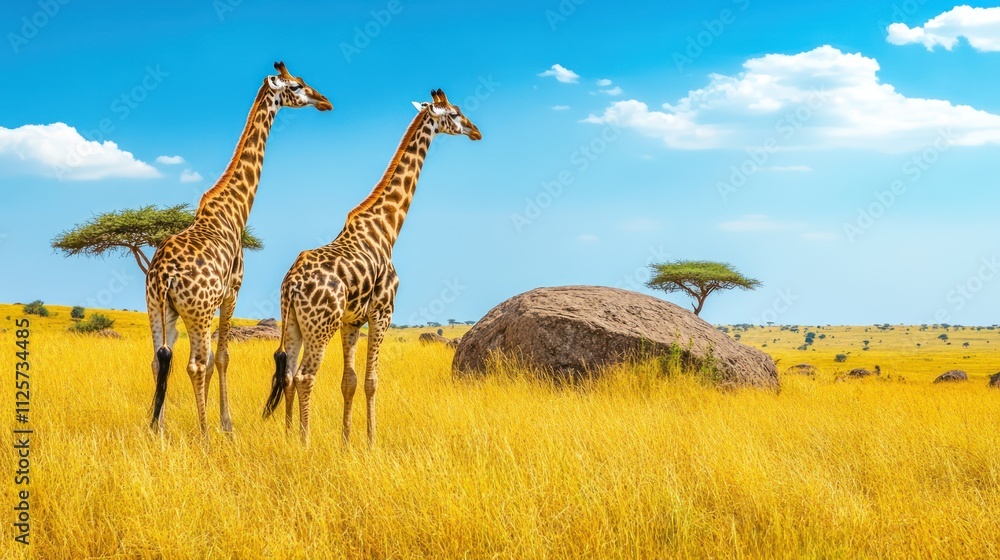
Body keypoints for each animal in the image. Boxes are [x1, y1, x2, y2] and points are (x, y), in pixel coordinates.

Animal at [147, 61, 332, 435]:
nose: (325, 101)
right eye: (297, 85)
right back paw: (203, 435)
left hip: (159, 310)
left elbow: (213, 358)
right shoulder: (232, 292)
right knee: (193, 364)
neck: (233, 209)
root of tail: (162, 275)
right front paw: (226, 425)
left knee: (160, 362)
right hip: (198, 310)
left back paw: (158, 432)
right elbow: (222, 357)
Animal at [263, 89, 481, 445]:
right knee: (305, 376)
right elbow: (371, 380)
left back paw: (289, 437)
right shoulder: (382, 312)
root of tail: (292, 284)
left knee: (289, 374)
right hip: (321, 324)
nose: (476, 131)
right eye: (455, 113)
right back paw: (305, 443)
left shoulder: (351, 321)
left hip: (293, 322)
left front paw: (346, 441)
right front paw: (370, 441)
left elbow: (348, 381)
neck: (387, 228)